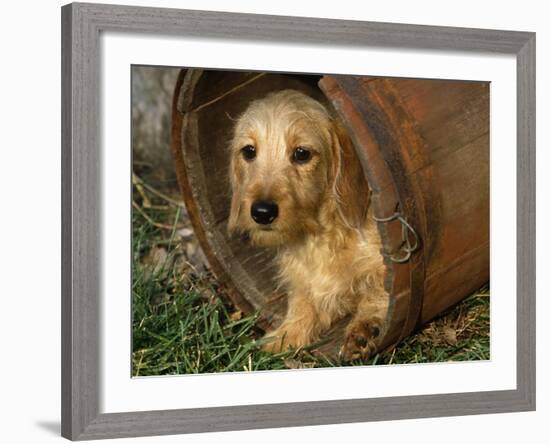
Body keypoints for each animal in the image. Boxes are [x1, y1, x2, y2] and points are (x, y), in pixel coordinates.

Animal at [226, 88, 390, 360]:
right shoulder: (304, 283)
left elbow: (378, 289)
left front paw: (366, 327)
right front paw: (283, 337)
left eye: (302, 153)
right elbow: (303, 305)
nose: (262, 212)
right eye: (249, 151)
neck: (320, 237)